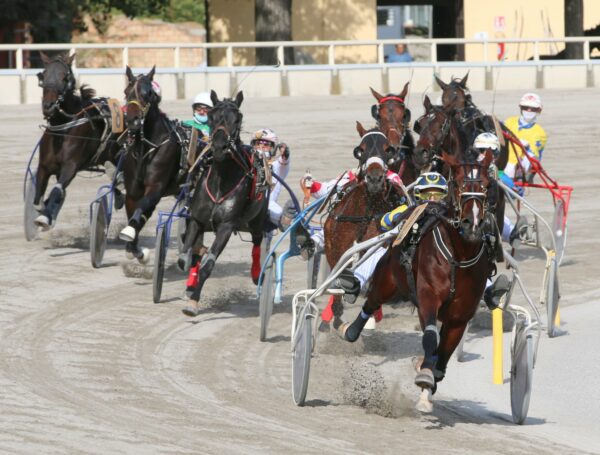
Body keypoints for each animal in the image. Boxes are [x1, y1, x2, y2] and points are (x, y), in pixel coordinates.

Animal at [33, 52, 122, 232]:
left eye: (64, 77)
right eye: (43, 75)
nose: (48, 106)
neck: (62, 128)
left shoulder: (70, 166)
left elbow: (56, 190)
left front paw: (45, 218)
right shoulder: (45, 166)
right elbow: (39, 198)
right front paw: (45, 213)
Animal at [119, 65, 189, 264]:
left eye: (148, 93)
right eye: (126, 92)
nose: (133, 121)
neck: (146, 148)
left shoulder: (156, 187)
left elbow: (142, 207)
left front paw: (129, 233)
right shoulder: (133, 191)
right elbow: (136, 210)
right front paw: (135, 248)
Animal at [180, 89, 270, 318]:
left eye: (237, 119)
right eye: (212, 117)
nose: (220, 146)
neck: (221, 181)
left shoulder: (226, 226)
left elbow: (208, 264)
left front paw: (193, 302)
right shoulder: (196, 219)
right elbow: (187, 256)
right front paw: (190, 285)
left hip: (257, 220)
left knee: (258, 241)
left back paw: (256, 273)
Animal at [318, 124, 404, 330]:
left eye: (387, 149)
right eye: (361, 150)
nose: (374, 178)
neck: (364, 216)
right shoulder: (334, 250)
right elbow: (337, 279)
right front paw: (336, 317)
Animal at [340, 149, 500, 414]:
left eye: (487, 185)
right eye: (458, 183)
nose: (472, 224)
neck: (458, 257)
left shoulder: (460, 316)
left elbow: (443, 355)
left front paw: (428, 383)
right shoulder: (428, 297)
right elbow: (430, 338)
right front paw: (425, 376)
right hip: (388, 279)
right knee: (372, 301)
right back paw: (351, 329)